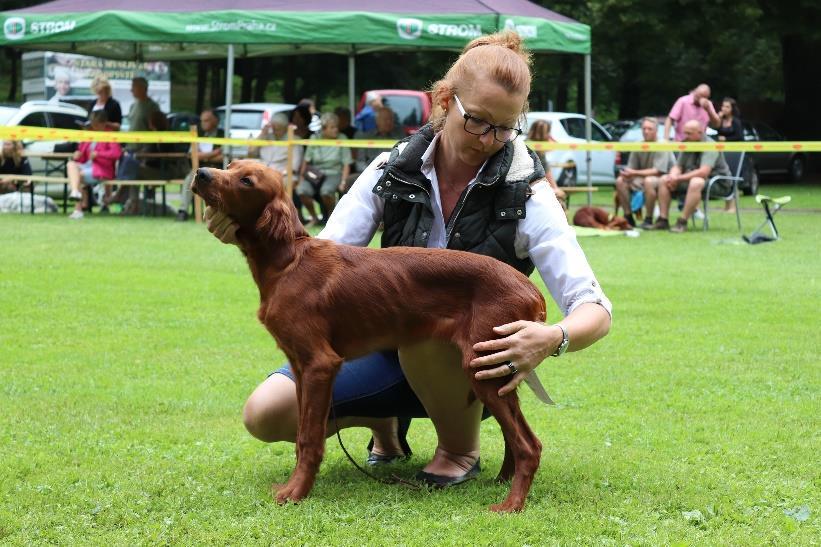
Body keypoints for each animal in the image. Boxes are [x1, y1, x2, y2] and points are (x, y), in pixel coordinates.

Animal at [192, 161, 544, 512]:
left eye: (246, 181)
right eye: (230, 166)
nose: (201, 173)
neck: (289, 262)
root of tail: (530, 289)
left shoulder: (319, 364)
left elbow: (308, 437)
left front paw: (296, 492)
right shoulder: (301, 367)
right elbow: (305, 433)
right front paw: (293, 486)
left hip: (482, 364)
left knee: (530, 444)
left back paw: (511, 504)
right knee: (516, 436)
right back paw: (502, 481)